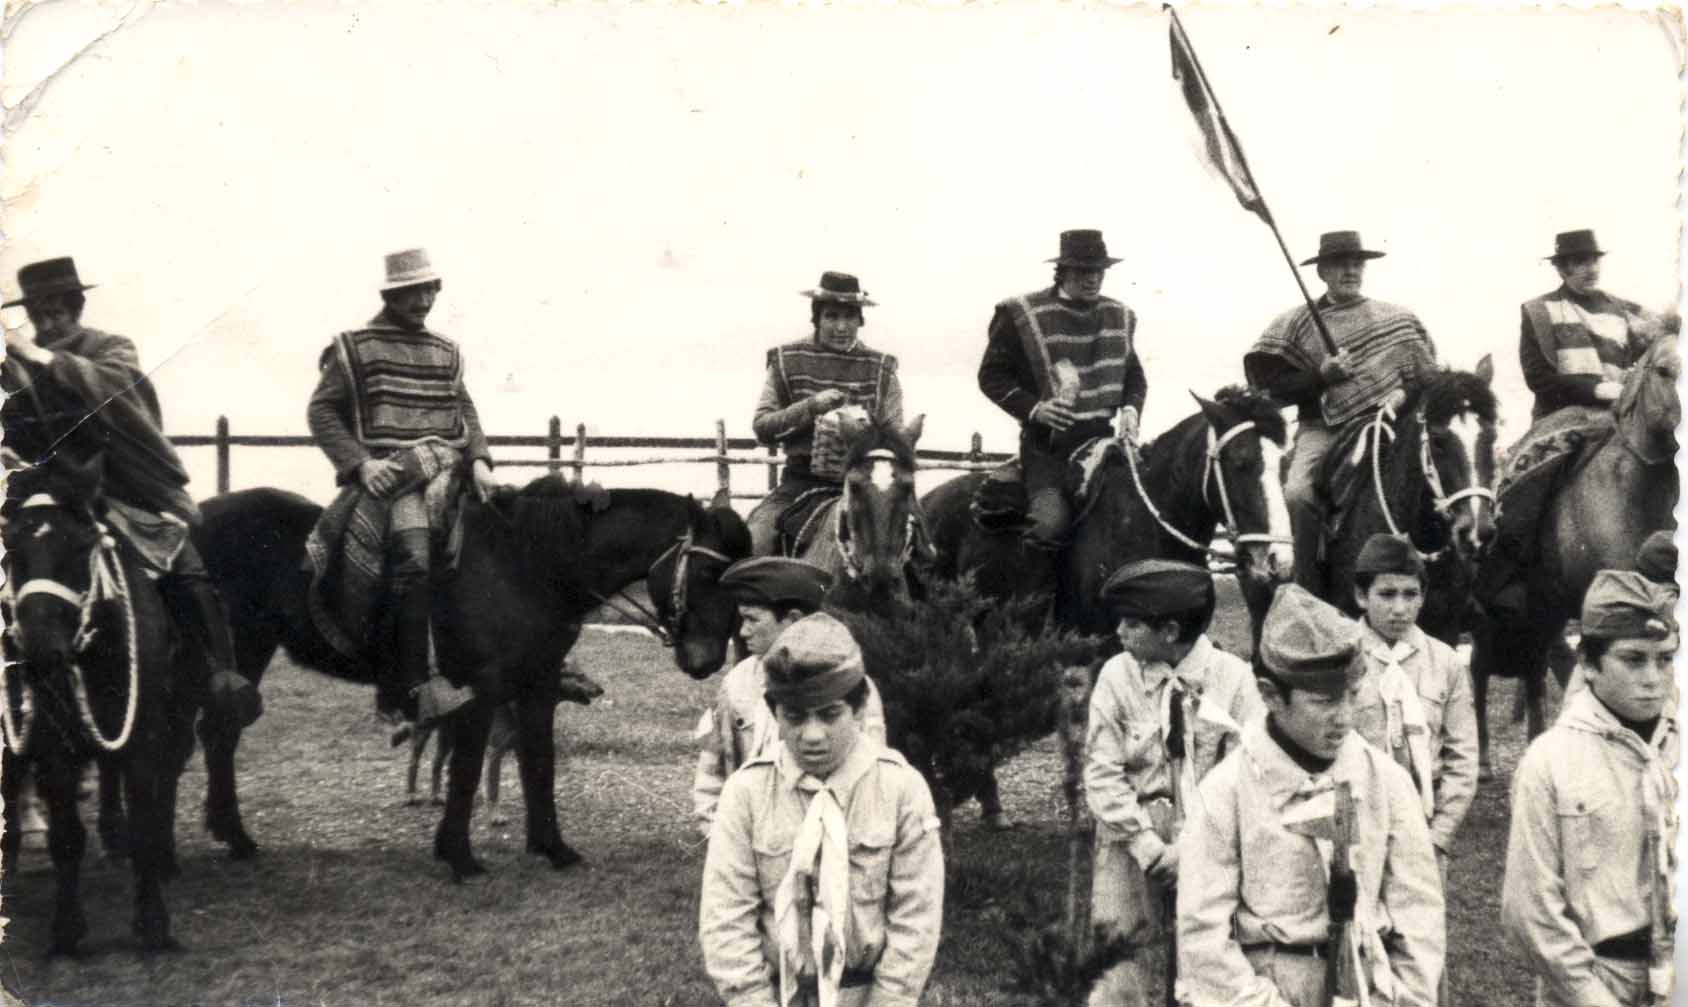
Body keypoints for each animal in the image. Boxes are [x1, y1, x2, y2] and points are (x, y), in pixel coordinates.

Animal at [0, 455, 200, 951]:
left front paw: (152, 921)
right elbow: (67, 835)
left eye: (79, 547)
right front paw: (67, 929)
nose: (40, 652)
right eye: (12, 552)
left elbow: (145, 821)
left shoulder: (145, 735)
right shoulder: (52, 743)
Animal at [188, 475, 749, 877]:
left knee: (219, 734)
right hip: (241, 648)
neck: (530, 563)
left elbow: (539, 763)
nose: (705, 661)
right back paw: (235, 835)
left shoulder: (537, 685)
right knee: (218, 734)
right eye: (706, 572)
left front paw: (553, 848)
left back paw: (232, 835)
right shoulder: (481, 689)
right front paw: (458, 854)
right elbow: (465, 768)